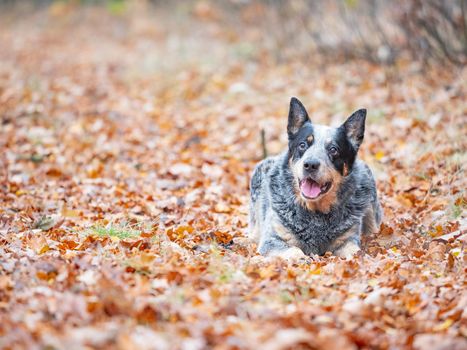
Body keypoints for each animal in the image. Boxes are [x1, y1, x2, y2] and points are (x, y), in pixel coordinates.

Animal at [250, 97, 382, 258]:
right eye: (302, 145)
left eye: (333, 149)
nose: (311, 164)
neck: (315, 213)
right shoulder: (271, 240)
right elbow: (294, 251)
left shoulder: (348, 240)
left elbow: (354, 252)